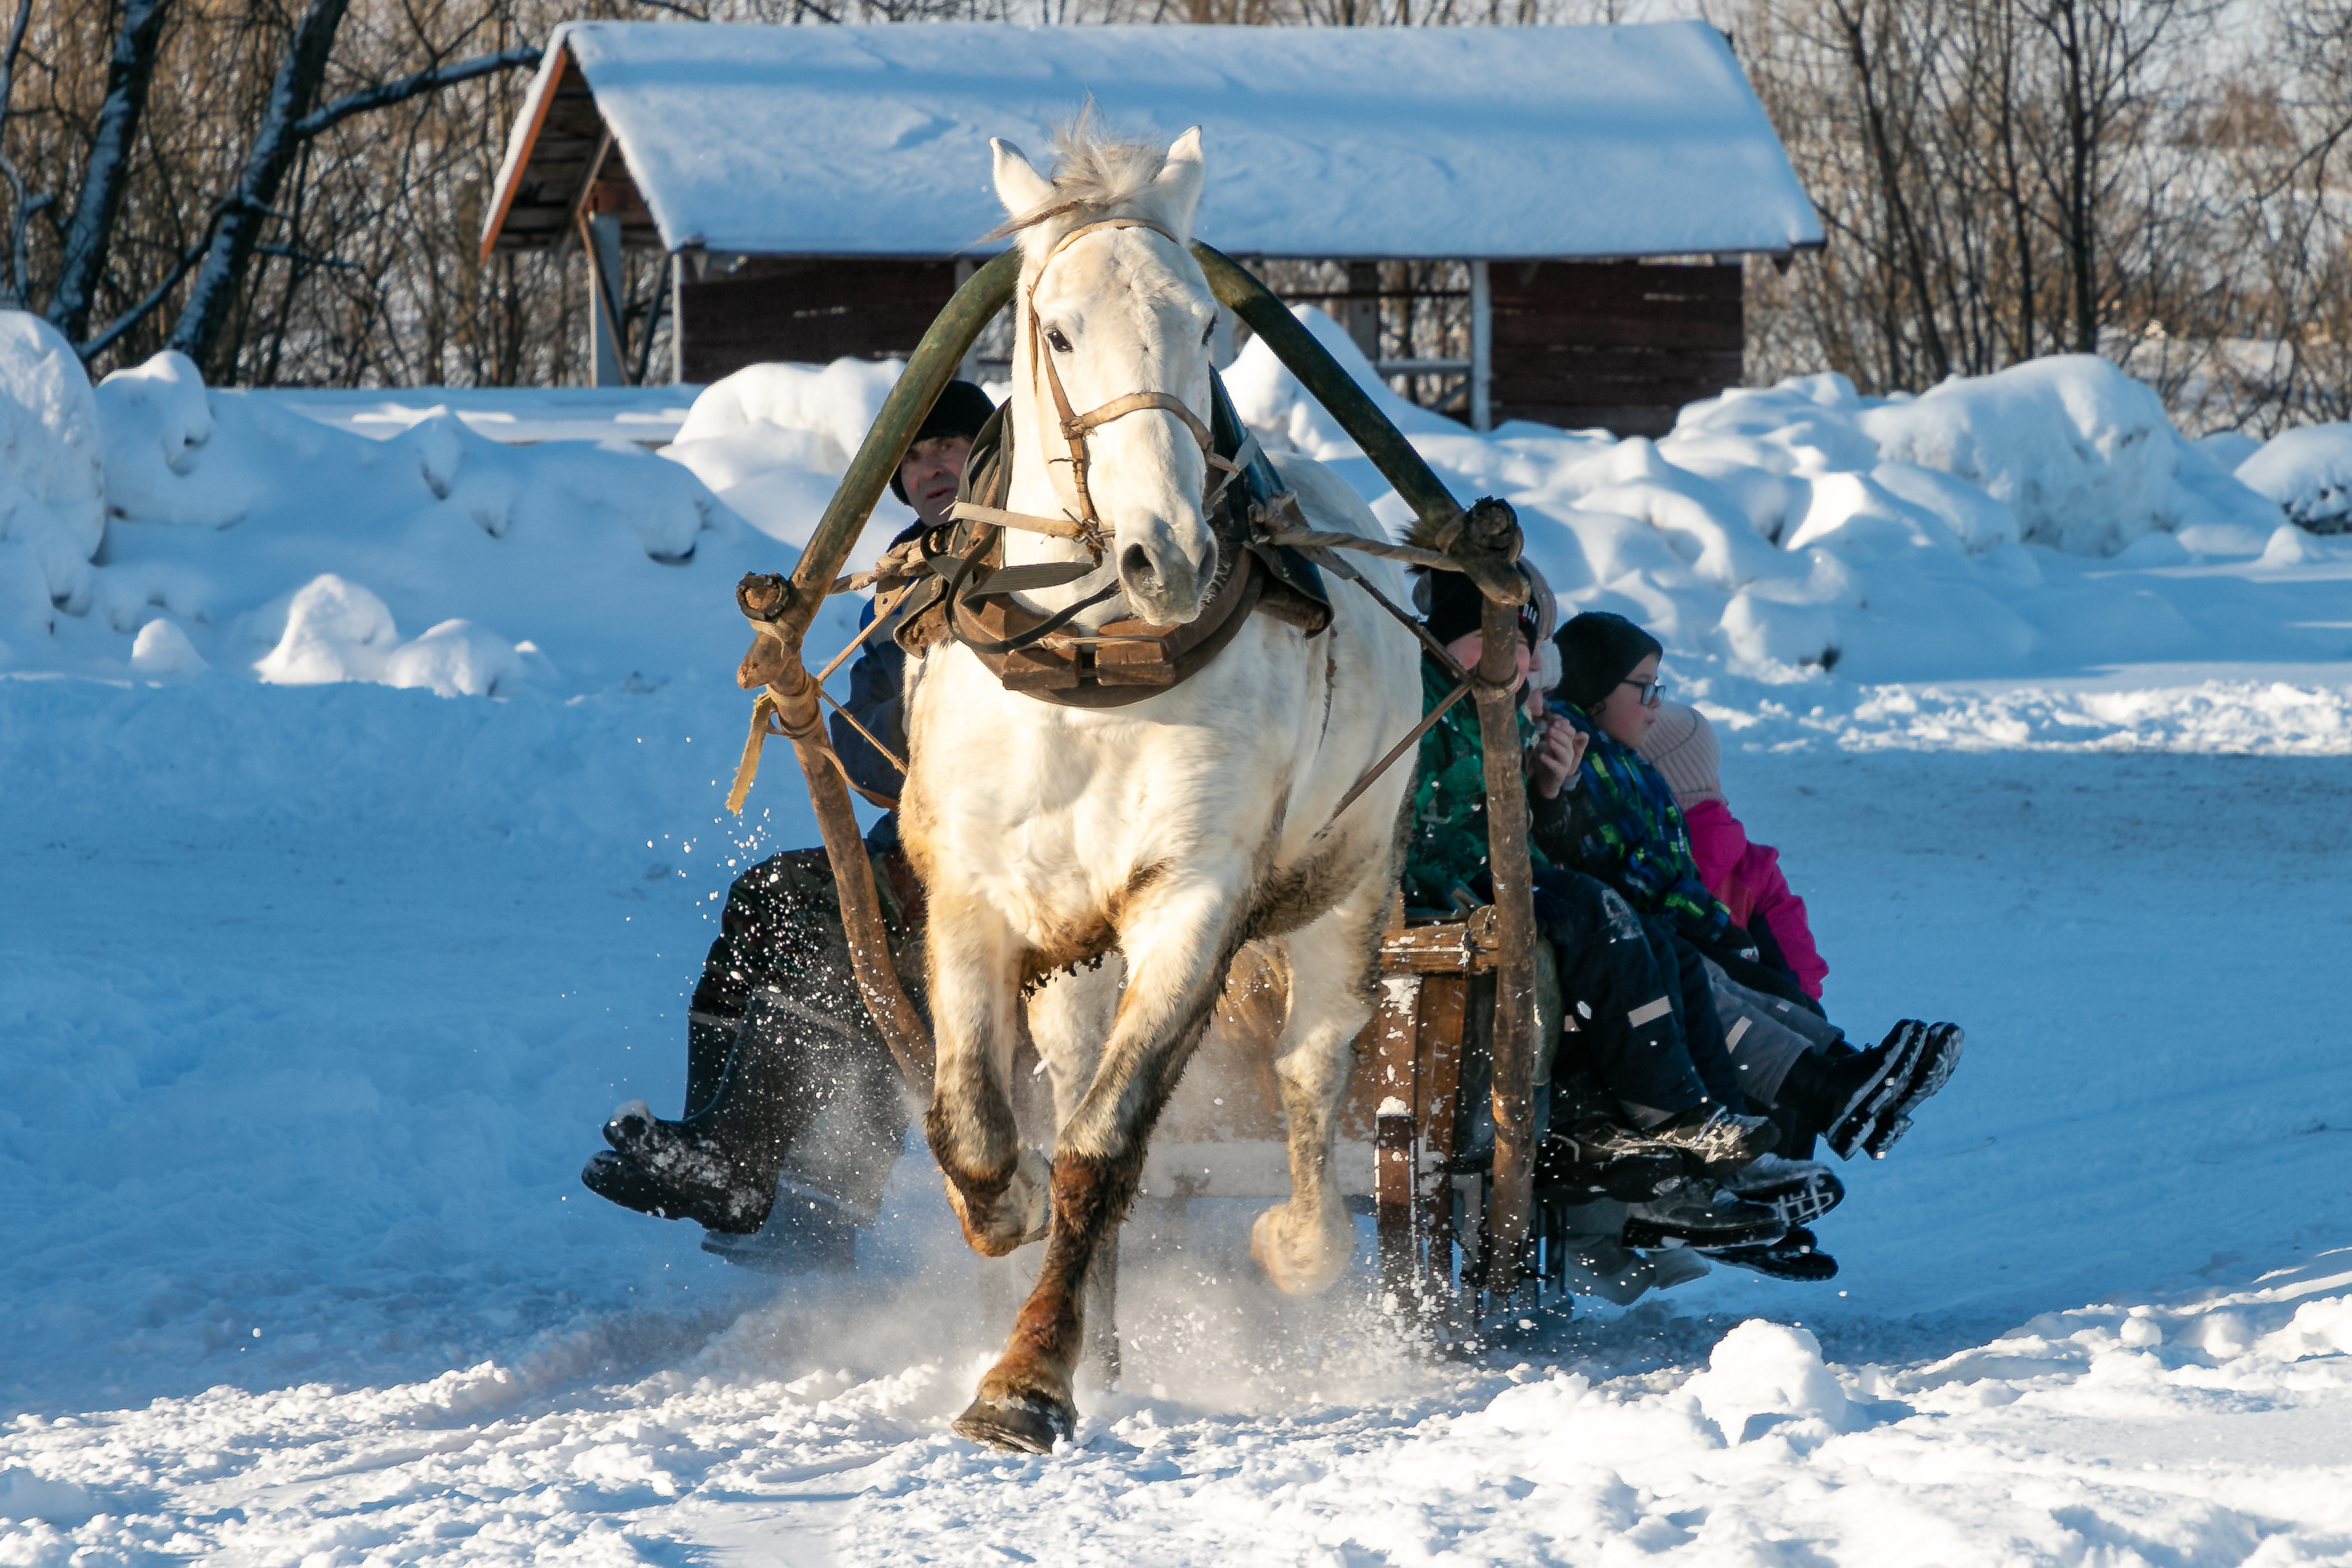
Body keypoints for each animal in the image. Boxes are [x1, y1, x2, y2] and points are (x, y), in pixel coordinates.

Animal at [894, 123, 1411, 1457]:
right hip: (1076, 950)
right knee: (1071, 1066)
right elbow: (977, 1122)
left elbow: (1105, 1141)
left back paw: (1301, 1240)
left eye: (1207, 324)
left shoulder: (1194, 895)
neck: (1091, 672)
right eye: (1057, 328)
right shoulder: (972, 889)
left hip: (1348, 879)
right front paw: (1013, 1218)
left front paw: (1028, 1377)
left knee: (1310, 1070)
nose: (1164, 555)